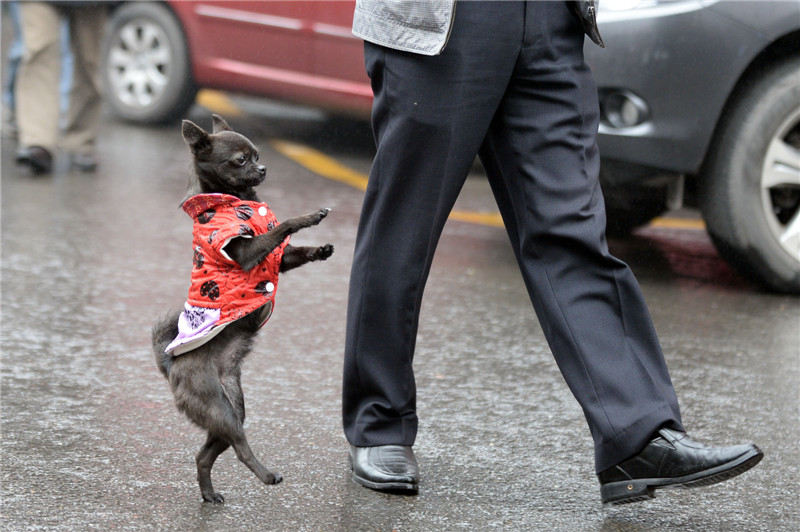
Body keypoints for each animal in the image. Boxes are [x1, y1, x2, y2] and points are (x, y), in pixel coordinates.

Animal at [152, 113, 332, 502]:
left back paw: (209, 494)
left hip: (232, 407)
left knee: (206, 453)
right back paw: (267, 475)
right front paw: (309, 216)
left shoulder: (278, 260)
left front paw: (320, 250)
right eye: (240, 160)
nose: (262, 168)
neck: (236, 202)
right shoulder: (249, 252)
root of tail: (170, 366)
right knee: (240, 448)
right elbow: (282, 227)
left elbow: (290, 250)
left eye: (258, 155)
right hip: (220, 409)